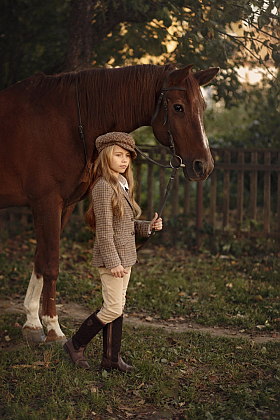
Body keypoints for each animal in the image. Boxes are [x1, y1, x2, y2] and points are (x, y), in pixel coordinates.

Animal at [0, 64, 219, 342]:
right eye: (179, 107)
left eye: (203, 106)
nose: (204, 166)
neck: (68, 121)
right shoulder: (46, 203)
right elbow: (50, 265)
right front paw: (53, 328)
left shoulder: (63, 206)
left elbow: (40, 259)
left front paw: (31, 323)